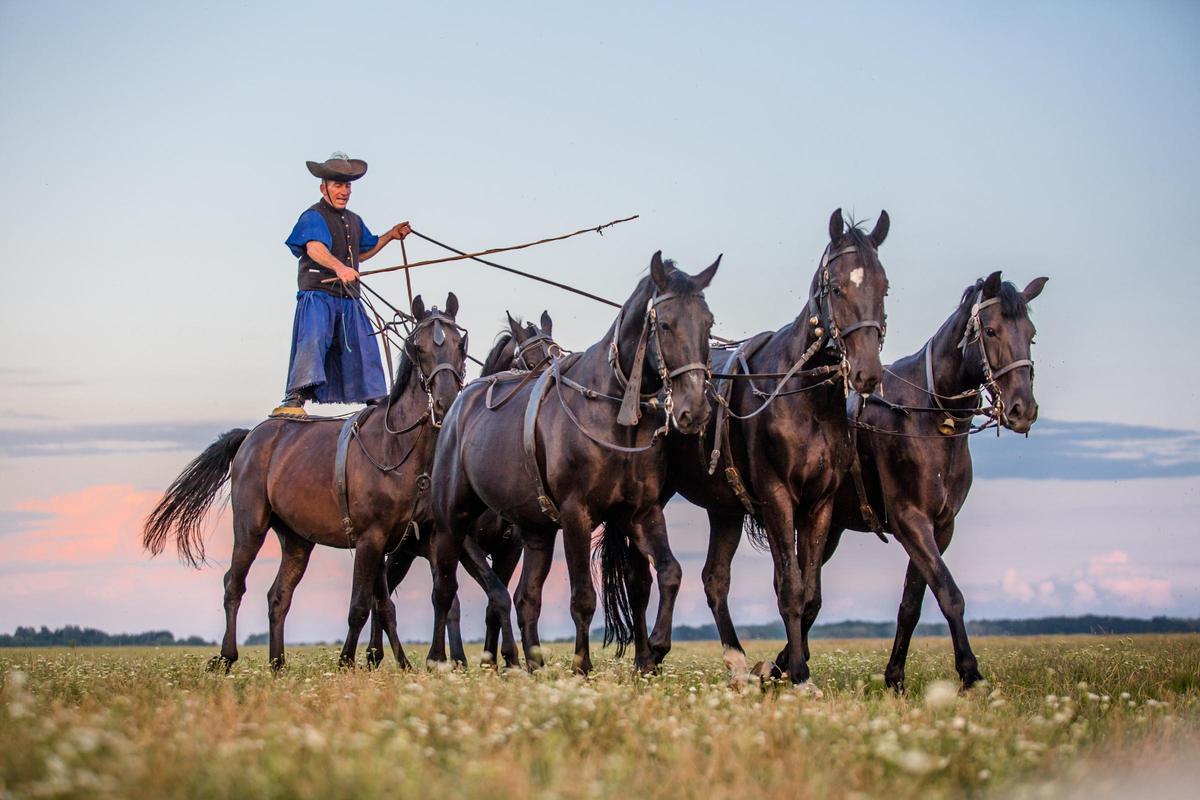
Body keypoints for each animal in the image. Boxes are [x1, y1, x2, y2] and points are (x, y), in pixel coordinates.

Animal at [364, 311, 561, 671]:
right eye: (530, 361)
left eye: (557, 352)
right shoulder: (465, 542)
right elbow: (494, 595)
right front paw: (503, 658)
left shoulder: (510, 547)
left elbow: (494, 602)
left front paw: (495, 660)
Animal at [429, 253, 715, 671]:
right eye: (665, 323)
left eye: (708, 322)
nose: (695, 410)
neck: (611, 409)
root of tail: (457, 408)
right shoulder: (575, 514)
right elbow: (582, 597)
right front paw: (582, 666)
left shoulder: (641, 513)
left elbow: (670, 572)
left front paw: (656, 647)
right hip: (452, 522)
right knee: (445, 590)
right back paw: (438, 658)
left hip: (535, 532)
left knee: (526, 599)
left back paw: (532, 664)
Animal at [820, 271, 1046, 690]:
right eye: (990, 330)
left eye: (1031, 334)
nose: (1023, 409)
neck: (927, 416)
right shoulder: (910, 521)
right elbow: (949, 593)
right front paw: (971, 674)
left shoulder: (940, 526)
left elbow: (911, 603)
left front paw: (894, 678)